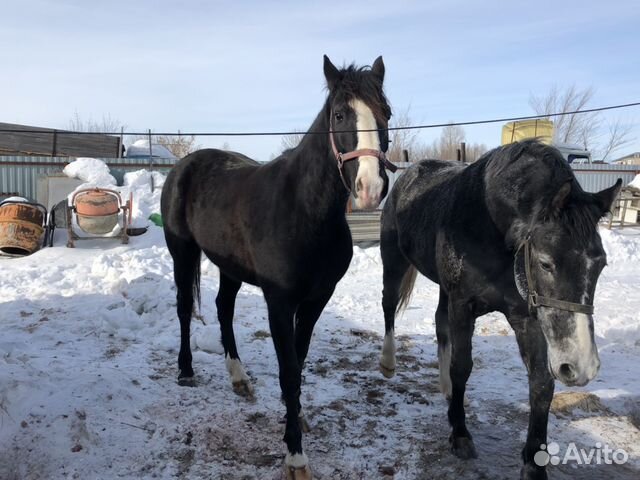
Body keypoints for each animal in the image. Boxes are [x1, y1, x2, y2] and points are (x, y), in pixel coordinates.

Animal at [161, 55, 395, 479]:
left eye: (386, 113)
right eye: (339, 114)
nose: (371, 188)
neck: (304, 210)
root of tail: (185, 163)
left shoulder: (317, 300)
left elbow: (297, 366)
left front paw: (294, 419)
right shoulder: (280, 303)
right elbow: (288, 371)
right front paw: (295, 455)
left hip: (229, 266)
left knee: (223, 308)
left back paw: (239, 379)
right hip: (182, 253)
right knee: (186, 307)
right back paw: (185, 370)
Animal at [377, 140, 621, 480]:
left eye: (601, 264)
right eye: (545, 263)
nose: (581, 366)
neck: (488, 222)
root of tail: (408, 174)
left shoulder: (526, 315)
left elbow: (541, 383)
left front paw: (534, 463)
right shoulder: (463, 305)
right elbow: (462, 366)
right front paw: (460, 435)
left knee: (439, 324)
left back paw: (446, 389)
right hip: (394, 260)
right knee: (389, 305)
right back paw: (388, 364)